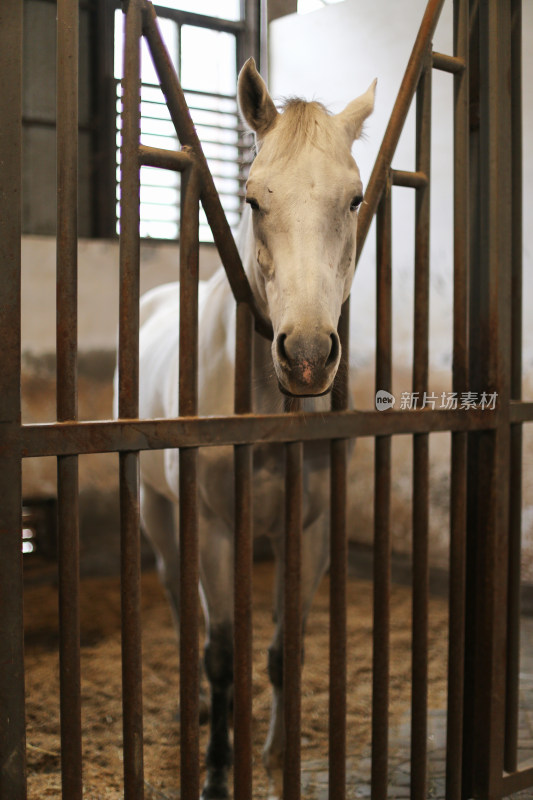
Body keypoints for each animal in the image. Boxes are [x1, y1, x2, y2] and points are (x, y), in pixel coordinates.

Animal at [133, 59, 374, 796]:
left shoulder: (311, 527)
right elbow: (221, 654)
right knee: (180, 605)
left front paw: (276, 756)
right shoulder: (212, 527)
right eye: (253, 199)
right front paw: (217, 769)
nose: (306, 355)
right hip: (157, 509)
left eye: (354, 200)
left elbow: (282, 651)